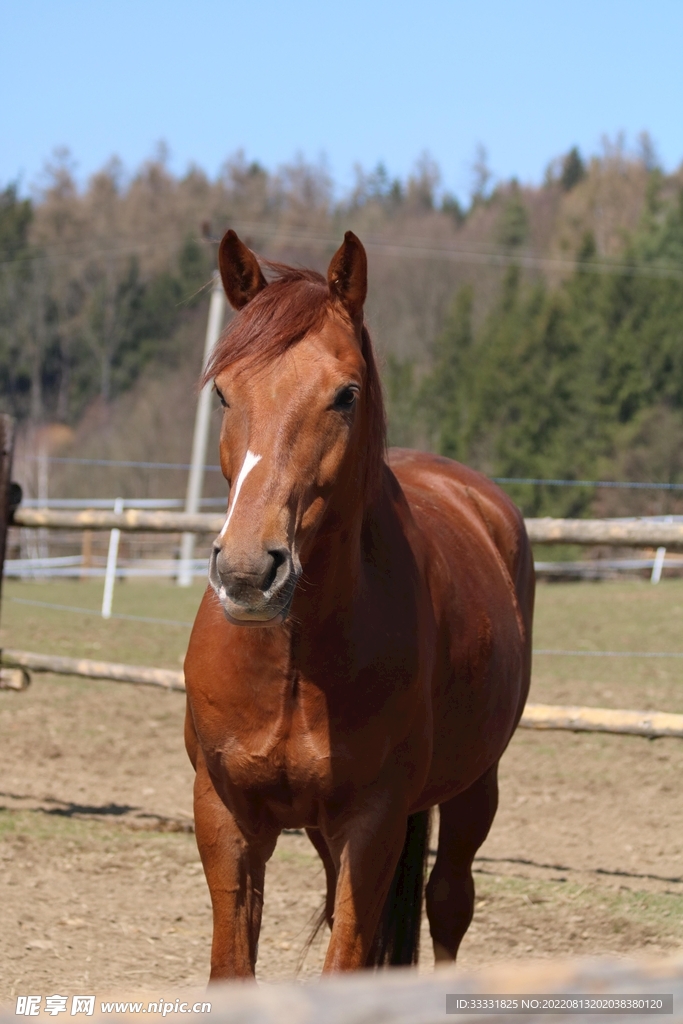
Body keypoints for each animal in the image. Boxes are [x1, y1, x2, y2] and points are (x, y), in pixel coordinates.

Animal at [183, 228, 535, 979]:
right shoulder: (225, 816)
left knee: (448, 902)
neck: (294, 661)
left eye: (345, 394)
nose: (248, 572)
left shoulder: (371, 826)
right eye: (223, 394)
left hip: (473, 790)